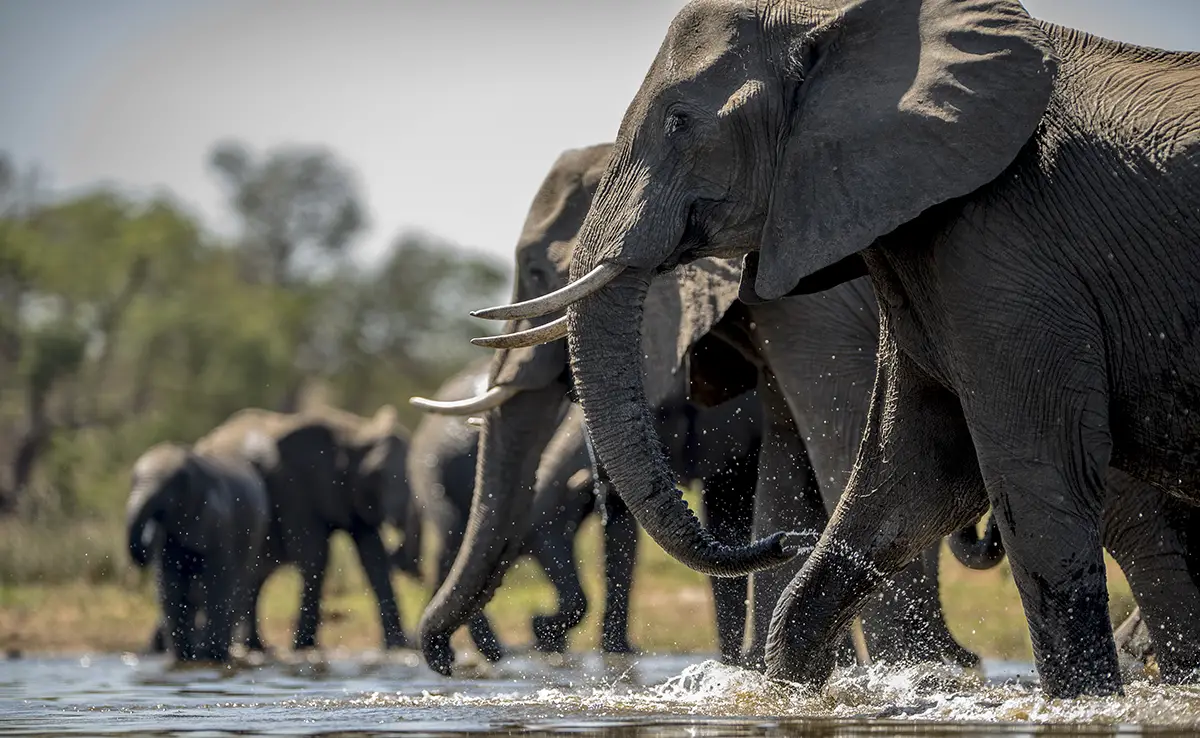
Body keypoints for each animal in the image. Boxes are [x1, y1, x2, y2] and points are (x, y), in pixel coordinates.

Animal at [127, 441, 271, 662]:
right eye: (133, 481)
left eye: (167, 491)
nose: (142, 553)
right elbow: (170, 583)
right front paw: (183, 657)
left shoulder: (219, 521)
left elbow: (217, 581)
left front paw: (212, 656)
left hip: (255, 534)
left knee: (238, 585)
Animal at [192, 403, 408, 652]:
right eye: (378, 474)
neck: (353, 432)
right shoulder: (295, 486)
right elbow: (314, 554)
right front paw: (304, 647)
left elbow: (374, 556)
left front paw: (399, 647)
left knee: (255, 575)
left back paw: (256, 647)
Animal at [415, 139, 984, 676]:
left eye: (536, 272)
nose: (448, 662)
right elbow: (782, 468)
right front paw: (763, 675)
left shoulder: (817, 311)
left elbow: (845, 449)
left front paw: (908, 673)